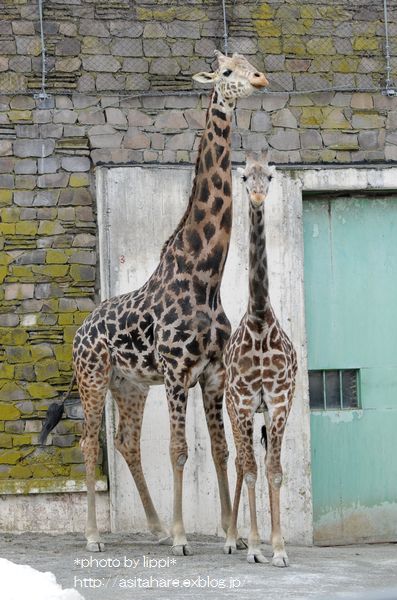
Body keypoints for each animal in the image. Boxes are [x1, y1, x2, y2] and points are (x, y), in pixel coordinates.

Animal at [41, 51, 266, 552]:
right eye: (227, 72)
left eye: (250, 61)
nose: (261, 78)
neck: (205, 279)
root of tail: (79, 331)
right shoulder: (178, 374)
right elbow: (179, 450)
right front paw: (184, 538)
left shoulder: (213, 376)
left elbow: (219, 450)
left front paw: (231, 536)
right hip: (93, 378)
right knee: (89, 442)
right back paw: (95, 537)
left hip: (129, 385)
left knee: (125, 441)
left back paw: (157, 527)